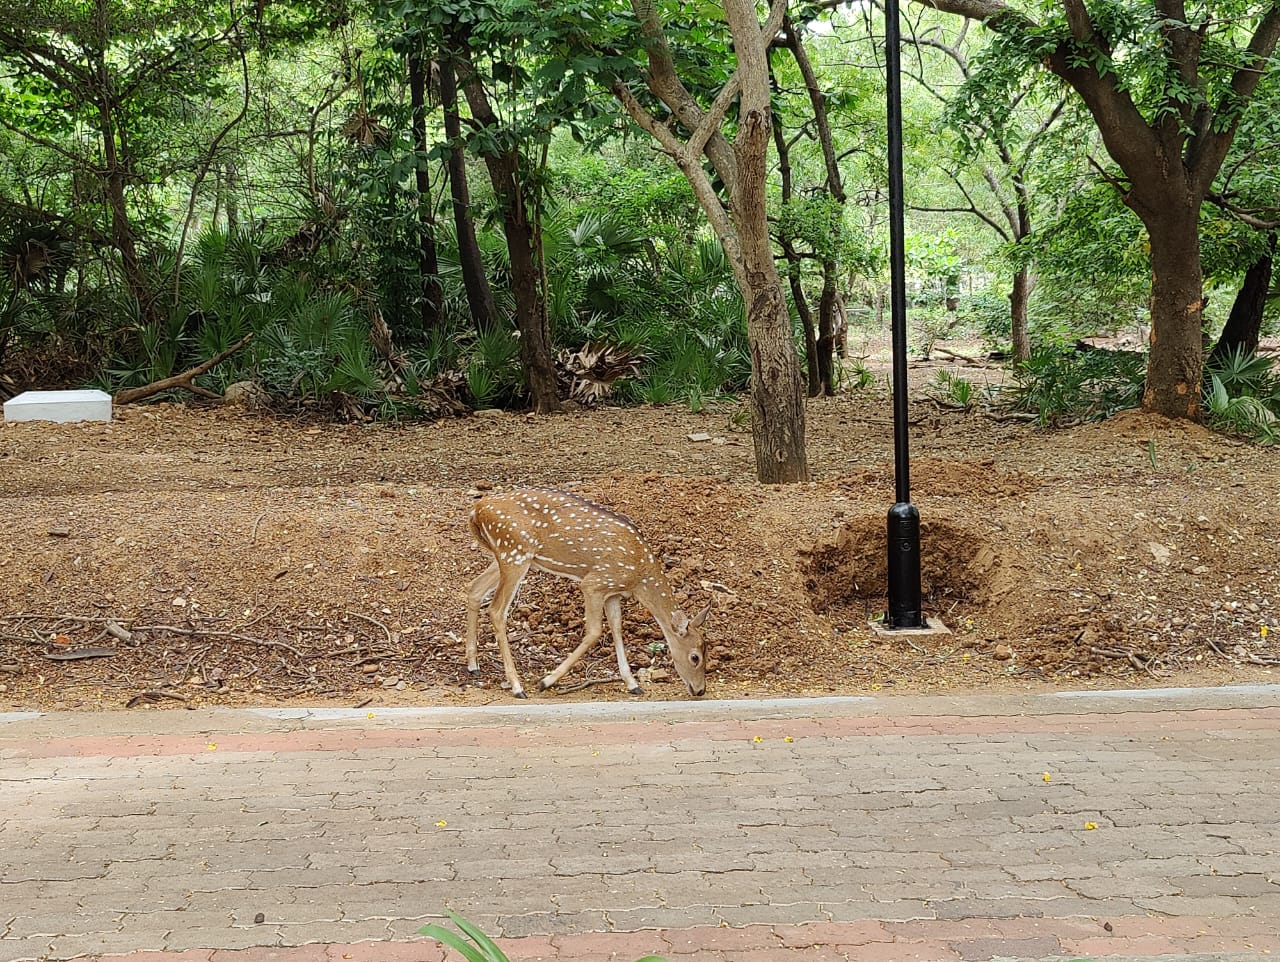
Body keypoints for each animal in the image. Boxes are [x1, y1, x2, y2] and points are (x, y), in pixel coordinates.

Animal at [468, 488, 716, 701]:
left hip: (505, 556)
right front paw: (546, 681)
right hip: (515, 553)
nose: (700, 690)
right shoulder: (594, 583)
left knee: (473, 589)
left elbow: (617, 628)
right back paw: (517, 687)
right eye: (695, 656)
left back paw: (473, 666)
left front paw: (633, 684)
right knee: (496, 610)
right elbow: (595, 631)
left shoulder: (613, 591)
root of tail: (477, 508)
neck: (639, 577)